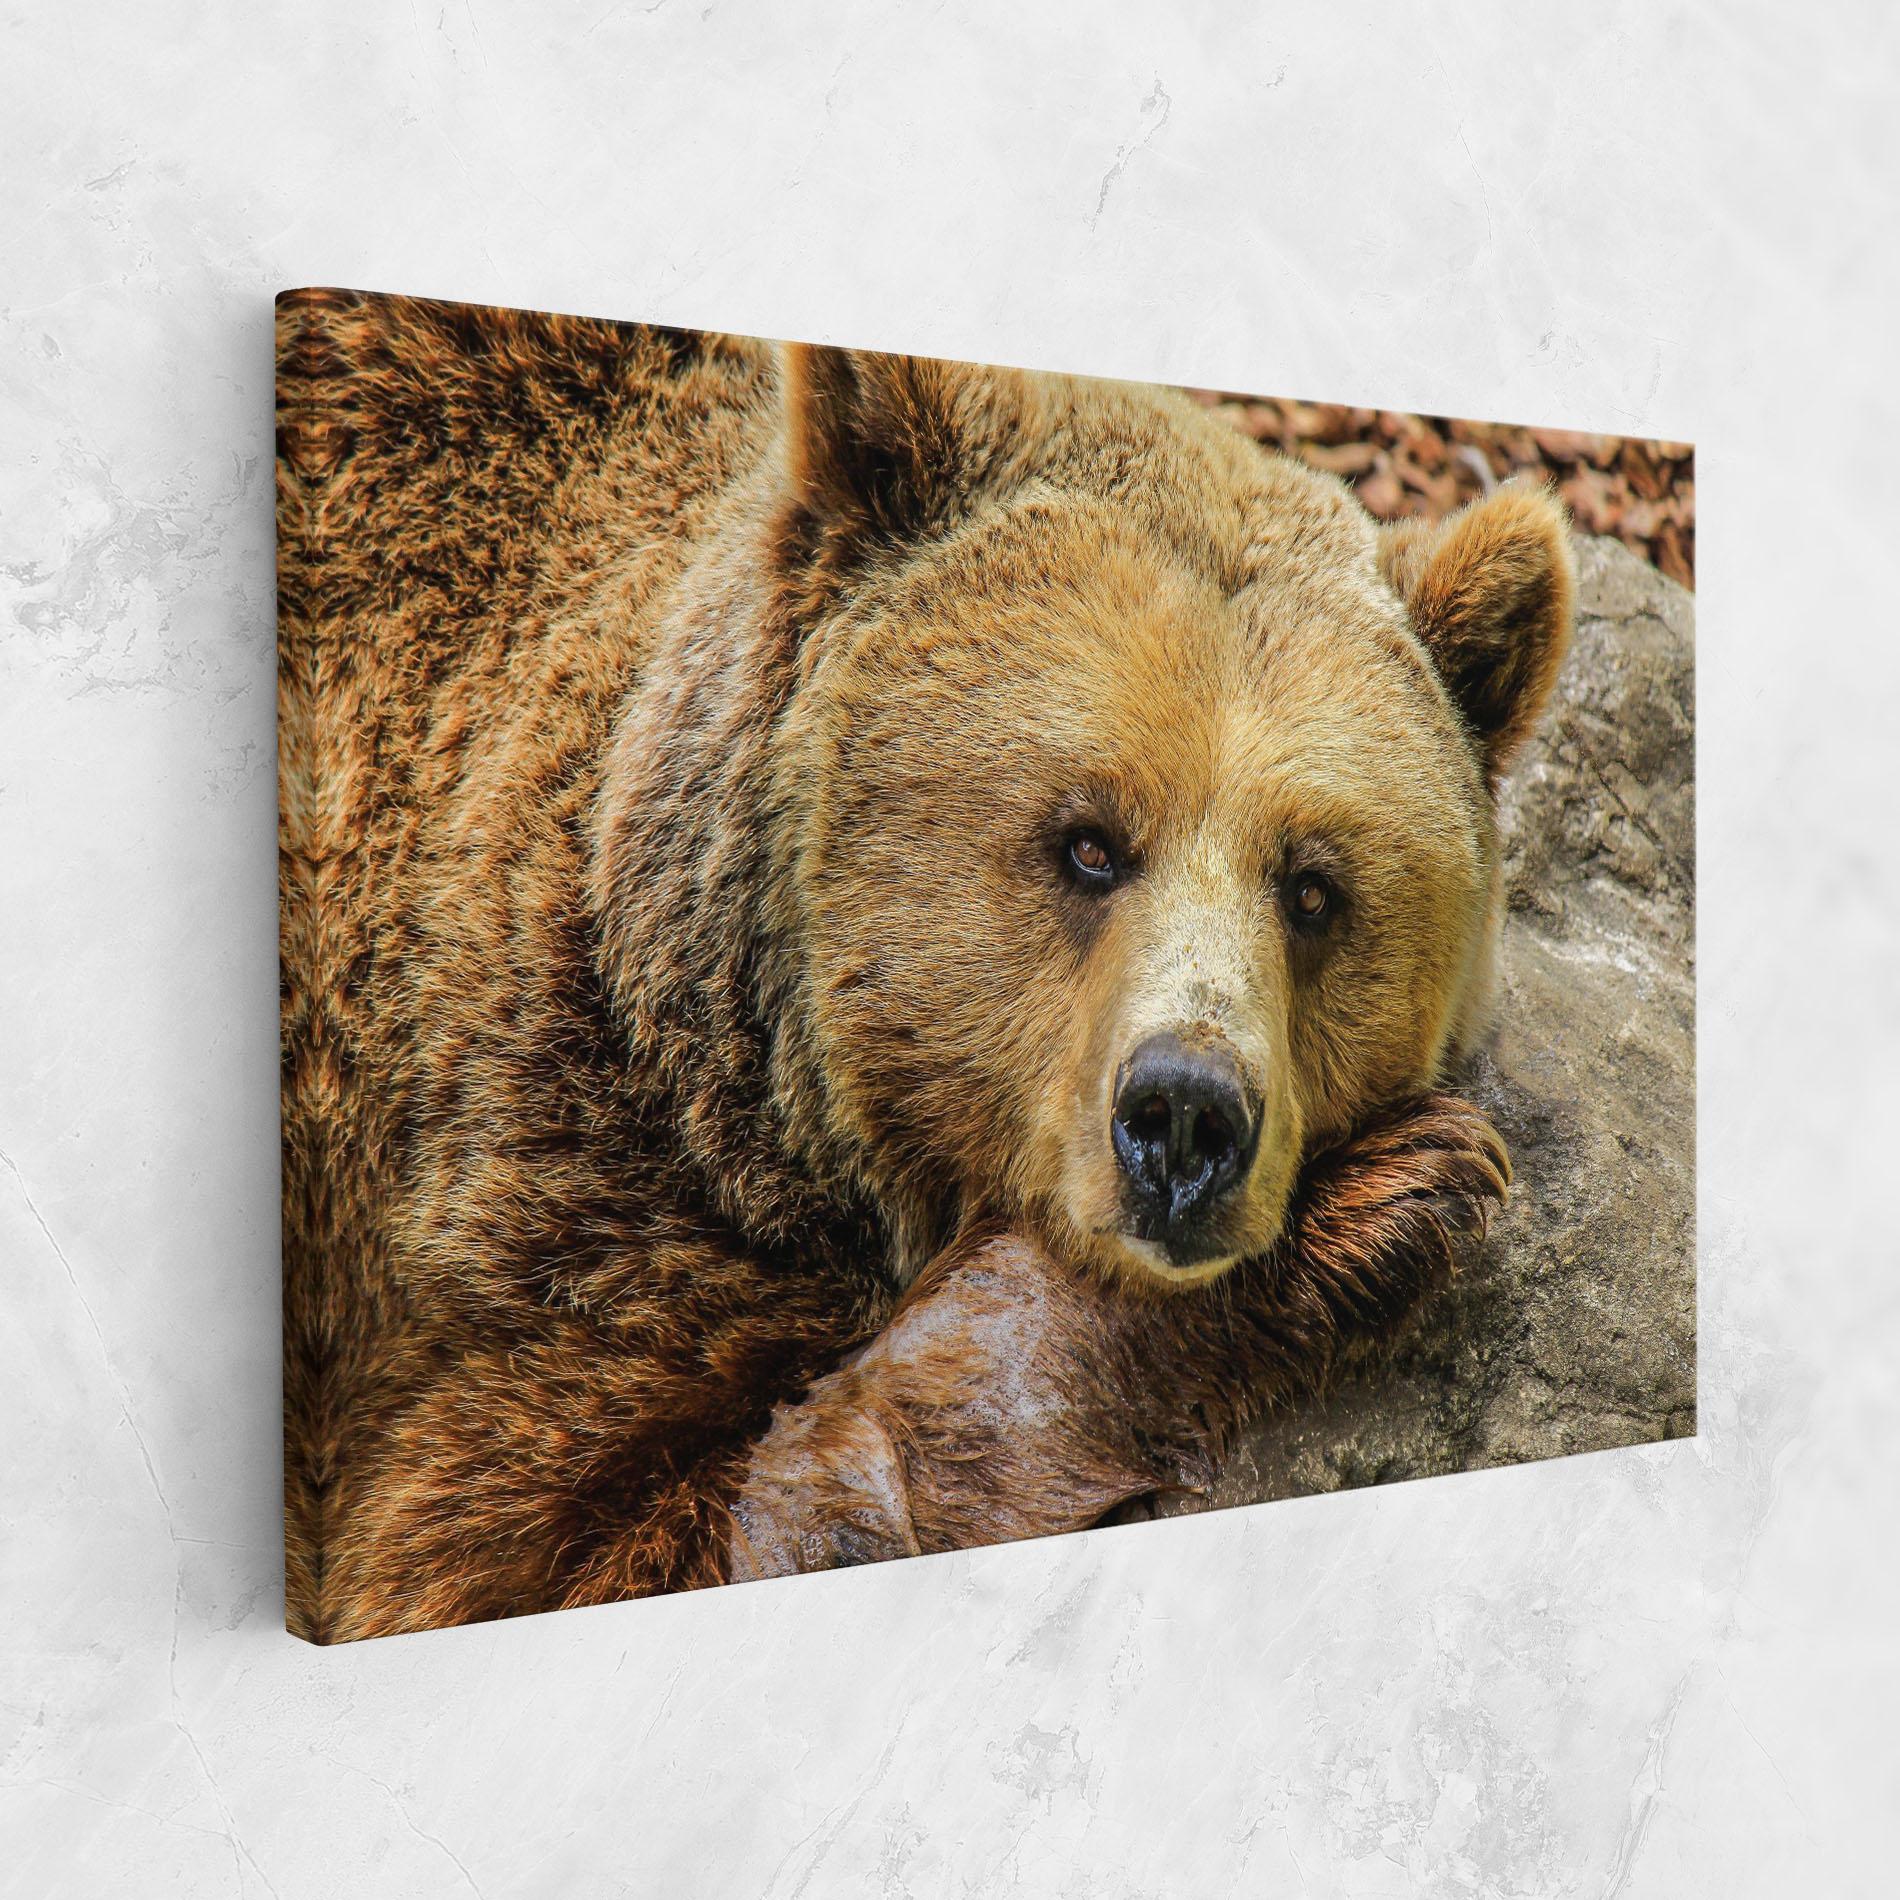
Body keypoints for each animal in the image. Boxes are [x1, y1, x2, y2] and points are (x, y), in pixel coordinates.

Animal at [276, 289, 1571, 1641]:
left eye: (1312, 887)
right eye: (1088, 841)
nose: (1185, 1119)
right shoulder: (531, 1204)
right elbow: (553, 1546)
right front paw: (1384, 1198)